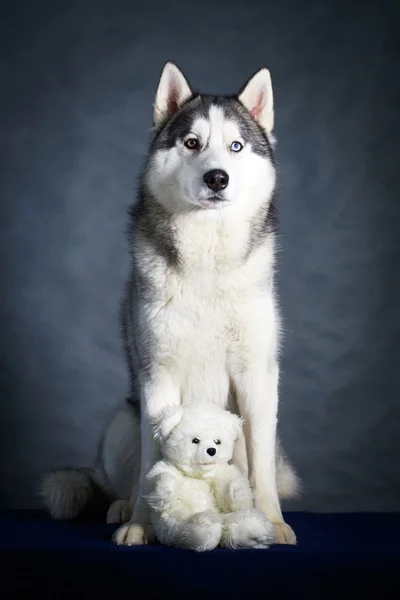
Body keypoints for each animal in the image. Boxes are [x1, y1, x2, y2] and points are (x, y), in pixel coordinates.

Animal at [39, 63, 298, 548]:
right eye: (191, 143)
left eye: (236, 146)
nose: (217, 178)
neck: (208, 262)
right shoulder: (158, 377)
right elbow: (151, 467)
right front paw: (142, 524)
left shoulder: (257, 377)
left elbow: (260, 470)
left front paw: (270, 522)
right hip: (123, 421)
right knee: (120, 480)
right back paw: (122, 505)